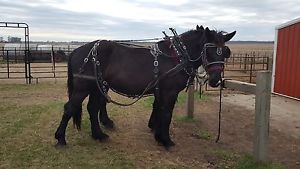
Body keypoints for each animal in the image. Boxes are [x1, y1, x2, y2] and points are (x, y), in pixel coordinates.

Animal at [55, 25, 236, 148]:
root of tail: (76, 50)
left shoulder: (160, 91)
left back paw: (98, 134)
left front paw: (156, 132)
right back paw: (60, 138)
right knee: (70, 108)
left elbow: (158, 109)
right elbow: (167, 114)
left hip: (98, 86)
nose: (215, 80)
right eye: (209, 51)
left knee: (93, 108)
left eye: (225, 52)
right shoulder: (170, 92)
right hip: (84, 87)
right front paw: (166, 140)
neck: (177, 56)